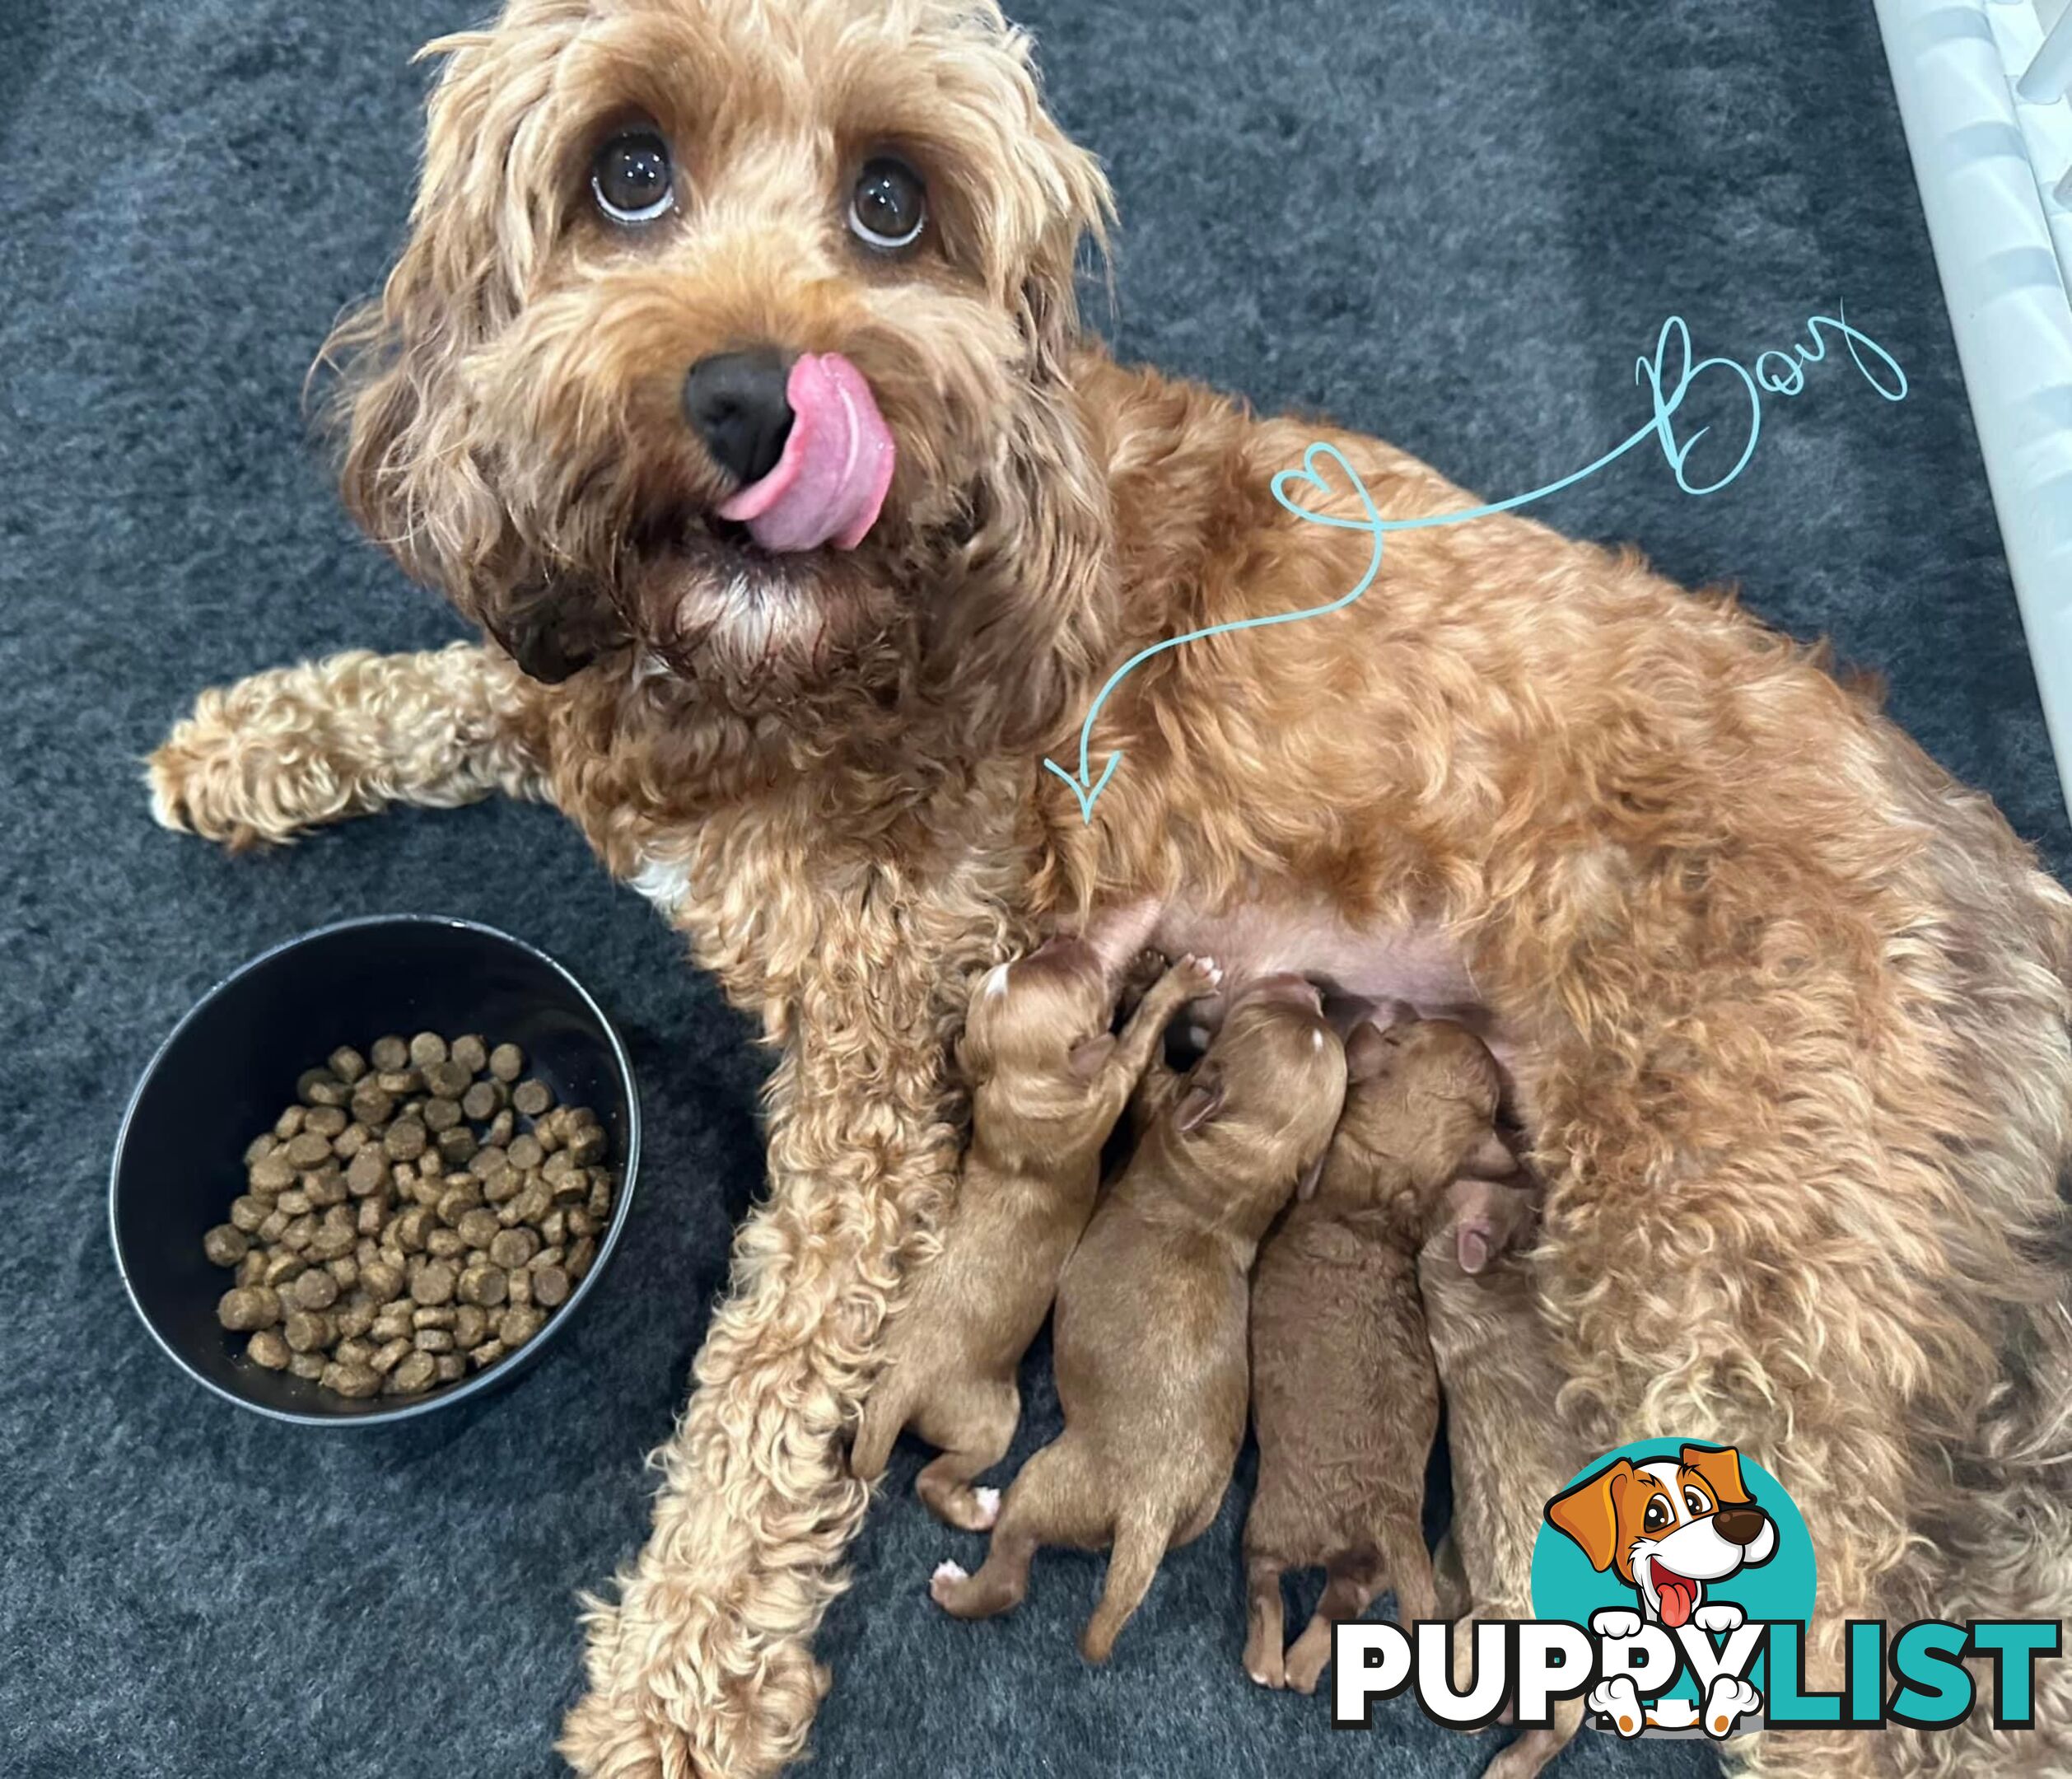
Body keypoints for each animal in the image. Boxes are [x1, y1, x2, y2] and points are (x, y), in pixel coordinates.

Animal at [853, 944, 1218, 1532]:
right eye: (1078, 978)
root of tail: (894, 1391)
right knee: (932, 1478)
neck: (1012, 1085)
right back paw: (976, 1507)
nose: (1076, 942)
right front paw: (1178, 982)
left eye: (1036, 957)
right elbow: (1138, 1036)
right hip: (991, 1418)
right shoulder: (1113, 1083)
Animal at [932, 981, 1351, 1665]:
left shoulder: (1153, 1100)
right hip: (1194, 1516)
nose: (1312, 987)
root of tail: (1148, 1512)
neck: (1244, 1167)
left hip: (1044, 1483)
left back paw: (954, 1586)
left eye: (1255, 1014)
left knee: (1010, 1571)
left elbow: (1147, 1062)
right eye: (1303, 1016)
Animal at [1234, 1015, 1516, 1697]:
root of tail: (1385, 1510)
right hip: (1370, 1567)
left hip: (1275, 1523)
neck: (1395, 1177)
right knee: (1338, 1608)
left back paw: (1267, 1661)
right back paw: (1304, 1667)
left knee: (1268, 1585)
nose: (1403, 1013)